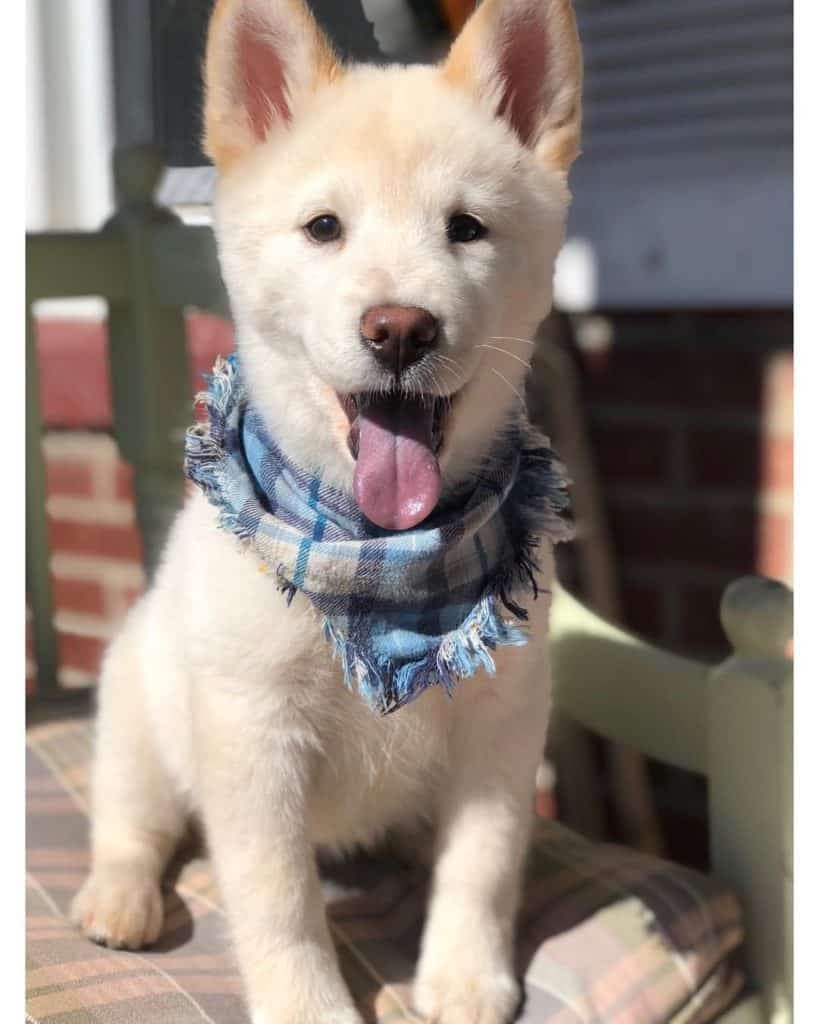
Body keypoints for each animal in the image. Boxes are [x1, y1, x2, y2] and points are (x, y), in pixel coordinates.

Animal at [70, 4, 581, 1019]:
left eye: (467, 228)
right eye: (323, 228)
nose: (400, 329)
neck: (380, 554)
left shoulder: (503, 717)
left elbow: (483, 859)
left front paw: (464, 974)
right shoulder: (251, 735)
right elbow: (279, 900)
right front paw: (306, 1001)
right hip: (140, 705)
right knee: (134, 819)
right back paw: (119, 895)